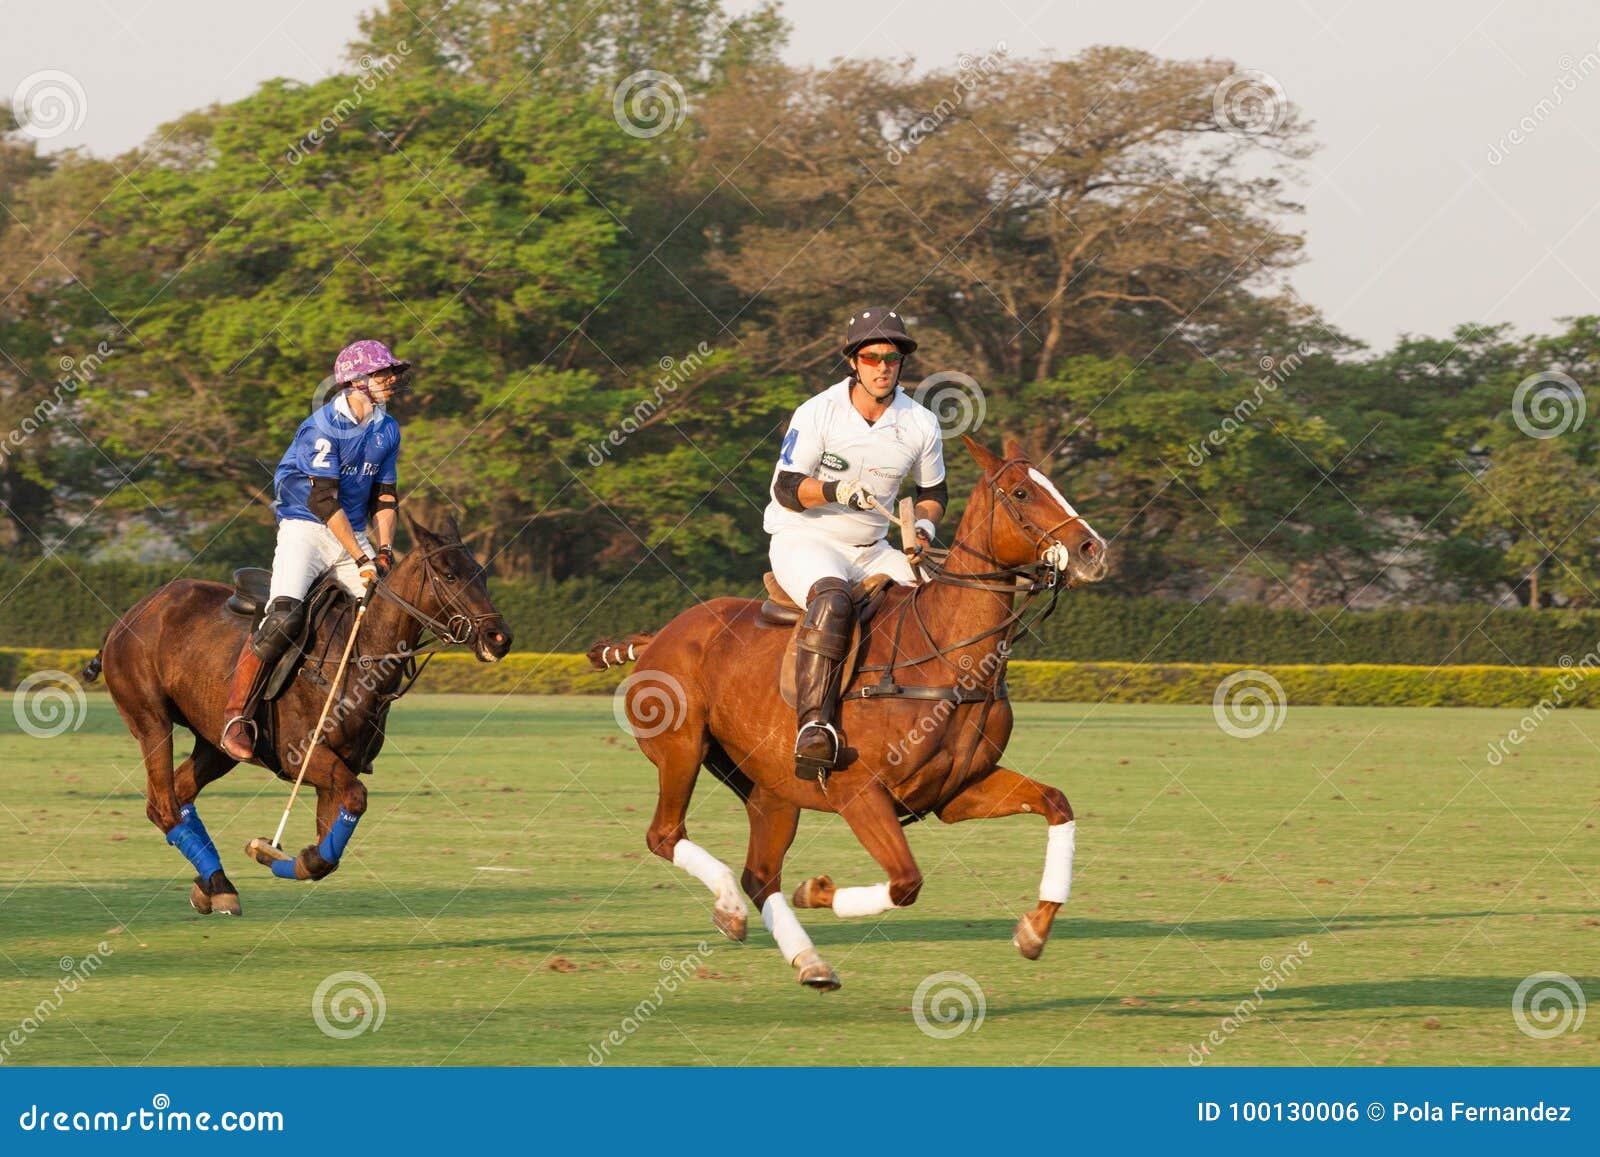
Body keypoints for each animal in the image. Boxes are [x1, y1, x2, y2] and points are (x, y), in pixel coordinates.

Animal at [84, 512, 508, 915]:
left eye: (483, 573)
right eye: (449, 574)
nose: (500, 638)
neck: (357, 654)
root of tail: (130, 615)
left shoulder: (340, 768)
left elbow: (329, 848)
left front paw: (294, 858)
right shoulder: (303, 755)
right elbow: (356, 800)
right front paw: (269, 851)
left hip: (214, 742)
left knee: (182, 792)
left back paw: (212, 884)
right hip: (150, 720)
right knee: (164, 806)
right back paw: (219, 884)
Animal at [595, 438, 1107, 992]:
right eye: (1021, 492)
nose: (1093, 551)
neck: (948, 657)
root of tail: (659, 635)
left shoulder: (958, 792)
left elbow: (1057, 803)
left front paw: (1034, 930)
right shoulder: (859, 792)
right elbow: (906, 883)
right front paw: (816, 890)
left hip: (772, 786)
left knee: (761, 874)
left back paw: (807, 961)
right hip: (681, 750)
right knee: (667, 836)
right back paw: (731, 906)